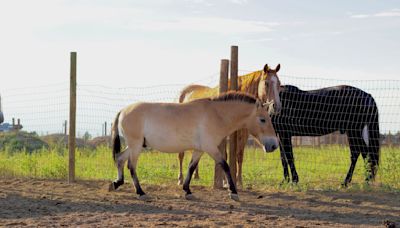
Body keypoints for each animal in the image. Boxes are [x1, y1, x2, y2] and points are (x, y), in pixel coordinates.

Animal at [108, 91, 280, 201]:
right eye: (263, 119)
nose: (274, 145)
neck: (216, 115)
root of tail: (123, 110)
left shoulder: (199, 150)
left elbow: (191, 167)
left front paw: (188, 191)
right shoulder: (210, 148)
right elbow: (225, 165)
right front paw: (233, 192)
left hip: (134, 145)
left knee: (120, 159)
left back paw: (116, 183)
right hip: (136, 145)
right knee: (131, 166)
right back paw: (140, 192)